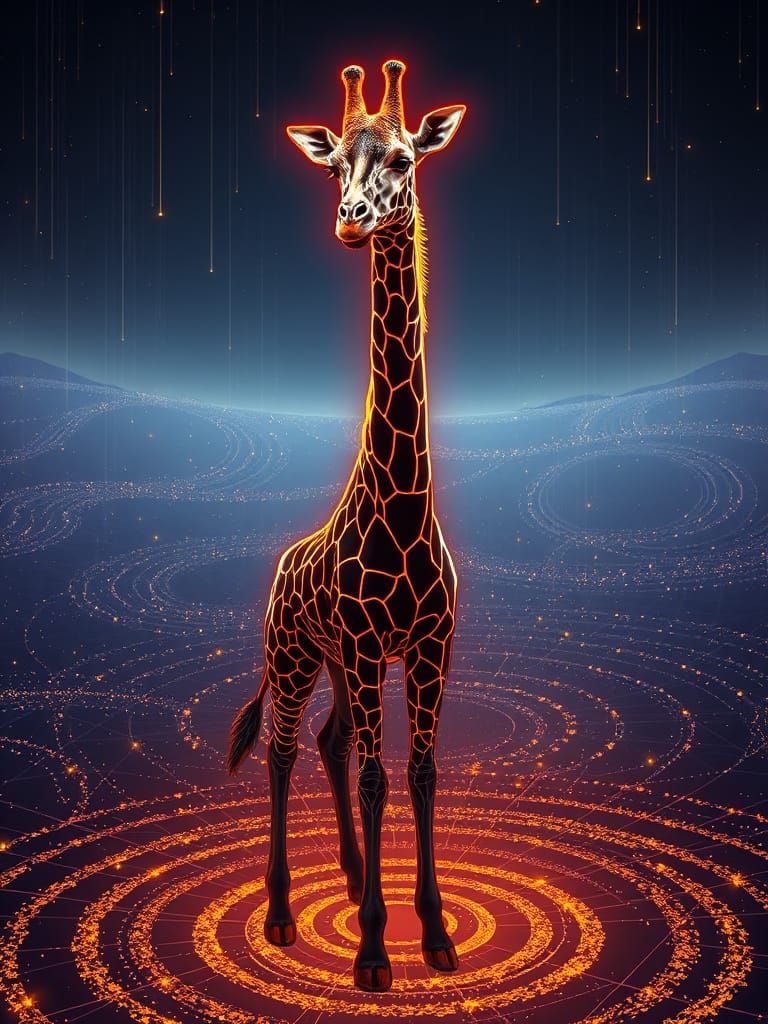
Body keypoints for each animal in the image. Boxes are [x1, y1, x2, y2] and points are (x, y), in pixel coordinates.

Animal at [227, 59, 465, 994]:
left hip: (329, 660)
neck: (402, 501)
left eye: (403, 158)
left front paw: (432, 935)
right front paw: (371, 954)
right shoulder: (369, 647)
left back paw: (358, 876)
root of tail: (277, 566)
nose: (351, 220)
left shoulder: (427, 648)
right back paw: (284, 912)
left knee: (328, 744)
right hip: (295, 654)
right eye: (333, 167)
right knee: (287, 749)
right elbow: (375, 778)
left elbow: (421, 773)